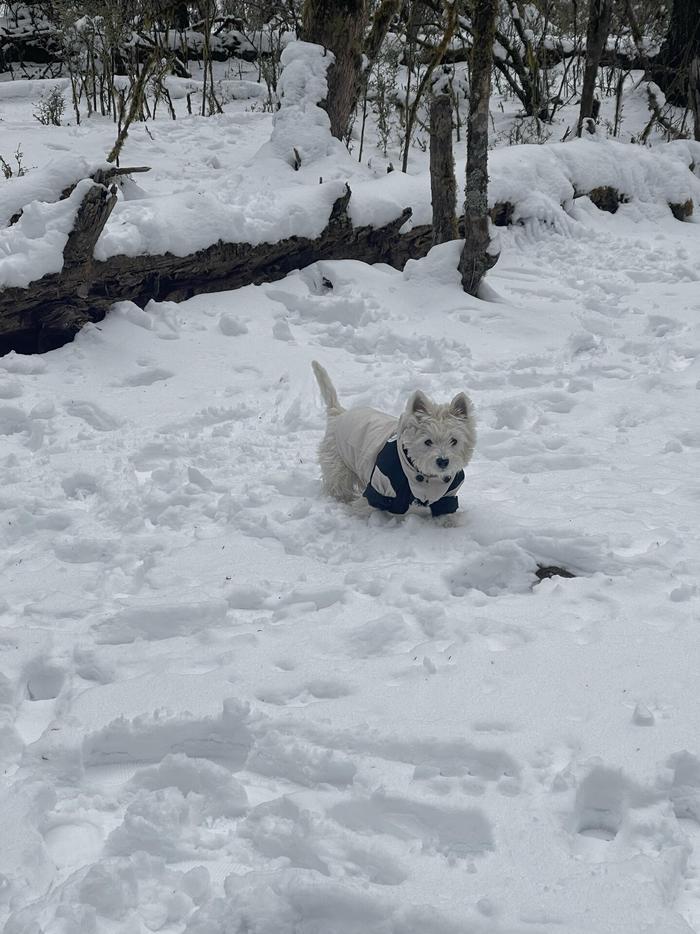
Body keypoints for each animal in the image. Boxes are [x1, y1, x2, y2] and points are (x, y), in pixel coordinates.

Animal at [312, 360, 476, 520]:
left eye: (454, 441)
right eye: (427, 441)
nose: (443, 461)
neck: (424, 476)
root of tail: (339, 413)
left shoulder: (448, 495)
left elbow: (445, 512)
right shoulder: (380, 485)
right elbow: (367, 507)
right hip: (338, 464)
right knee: (338, 484)